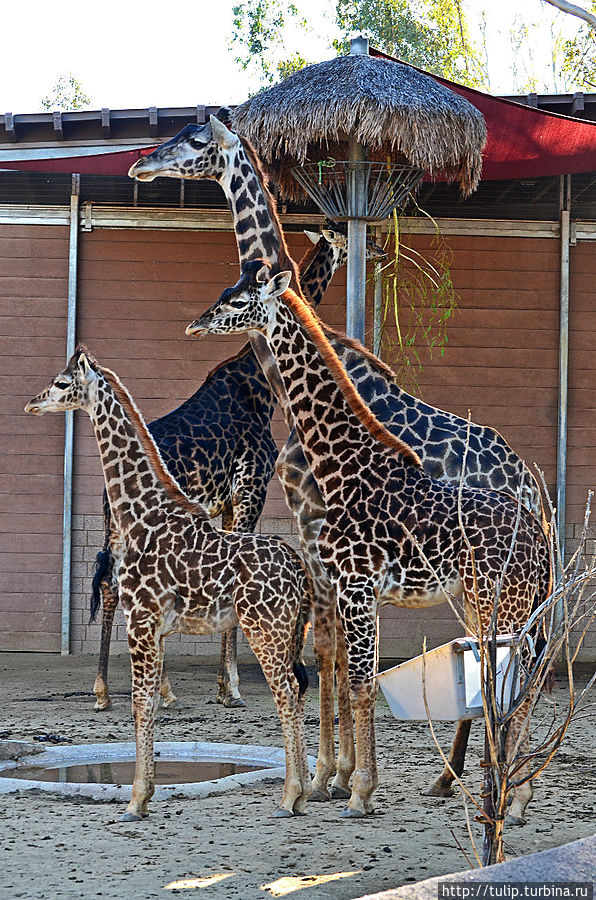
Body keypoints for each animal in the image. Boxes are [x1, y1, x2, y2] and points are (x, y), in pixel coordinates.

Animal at [24, 346, 312, 824]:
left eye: (63, 383)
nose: (33, 403)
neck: (141, 513)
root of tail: (299, 569)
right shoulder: (155, 627)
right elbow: (151, 702)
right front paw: (146, 792)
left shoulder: (140, 620)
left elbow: (141, 703)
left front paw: (136, 799)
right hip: (288, 630)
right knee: (300, 690)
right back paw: (306, 792)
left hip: (265, 627)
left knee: (286, 693)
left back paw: (290, 797)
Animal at [91, 221, 384, 712]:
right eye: (342, 235)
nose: (378, 249)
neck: (257, 386)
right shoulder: (251, 491)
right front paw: (230, 686)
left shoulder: (228, 503)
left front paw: (223, 683)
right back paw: (146, 689)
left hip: (120, 528)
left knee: (113, 584)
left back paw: (108, 690)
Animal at [189, 258, 552, 824]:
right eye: (228, 288)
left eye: (238, 300)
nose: (197, 322)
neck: (340, 464)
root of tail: (538, 526)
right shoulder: (346, 586)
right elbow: (348, 674)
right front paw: (341, 783)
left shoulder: (355, 585)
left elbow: (360, 682)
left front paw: (357, 791)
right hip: (489, 600)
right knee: (515, 680)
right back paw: (502, 790)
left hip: (506, 601)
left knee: (519, 682)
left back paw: (508, 797)